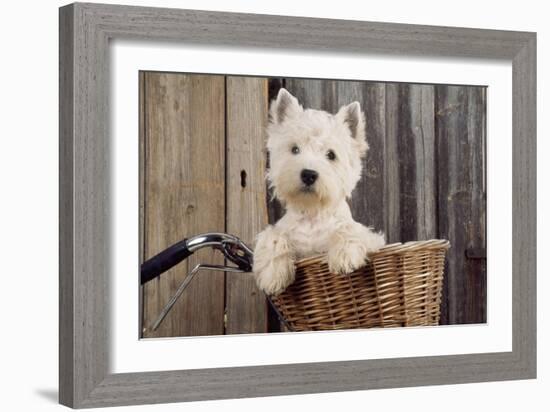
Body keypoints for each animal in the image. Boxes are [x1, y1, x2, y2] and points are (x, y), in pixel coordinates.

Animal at [256, 88, 388, 296]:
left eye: (331, 155)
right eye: (295, 149)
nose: (308, 174)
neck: (312, 213)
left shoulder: (371, 238)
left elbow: (348, 228)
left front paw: (344, 258)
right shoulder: (287, 236)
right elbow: (273, 236)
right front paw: (273, 276)